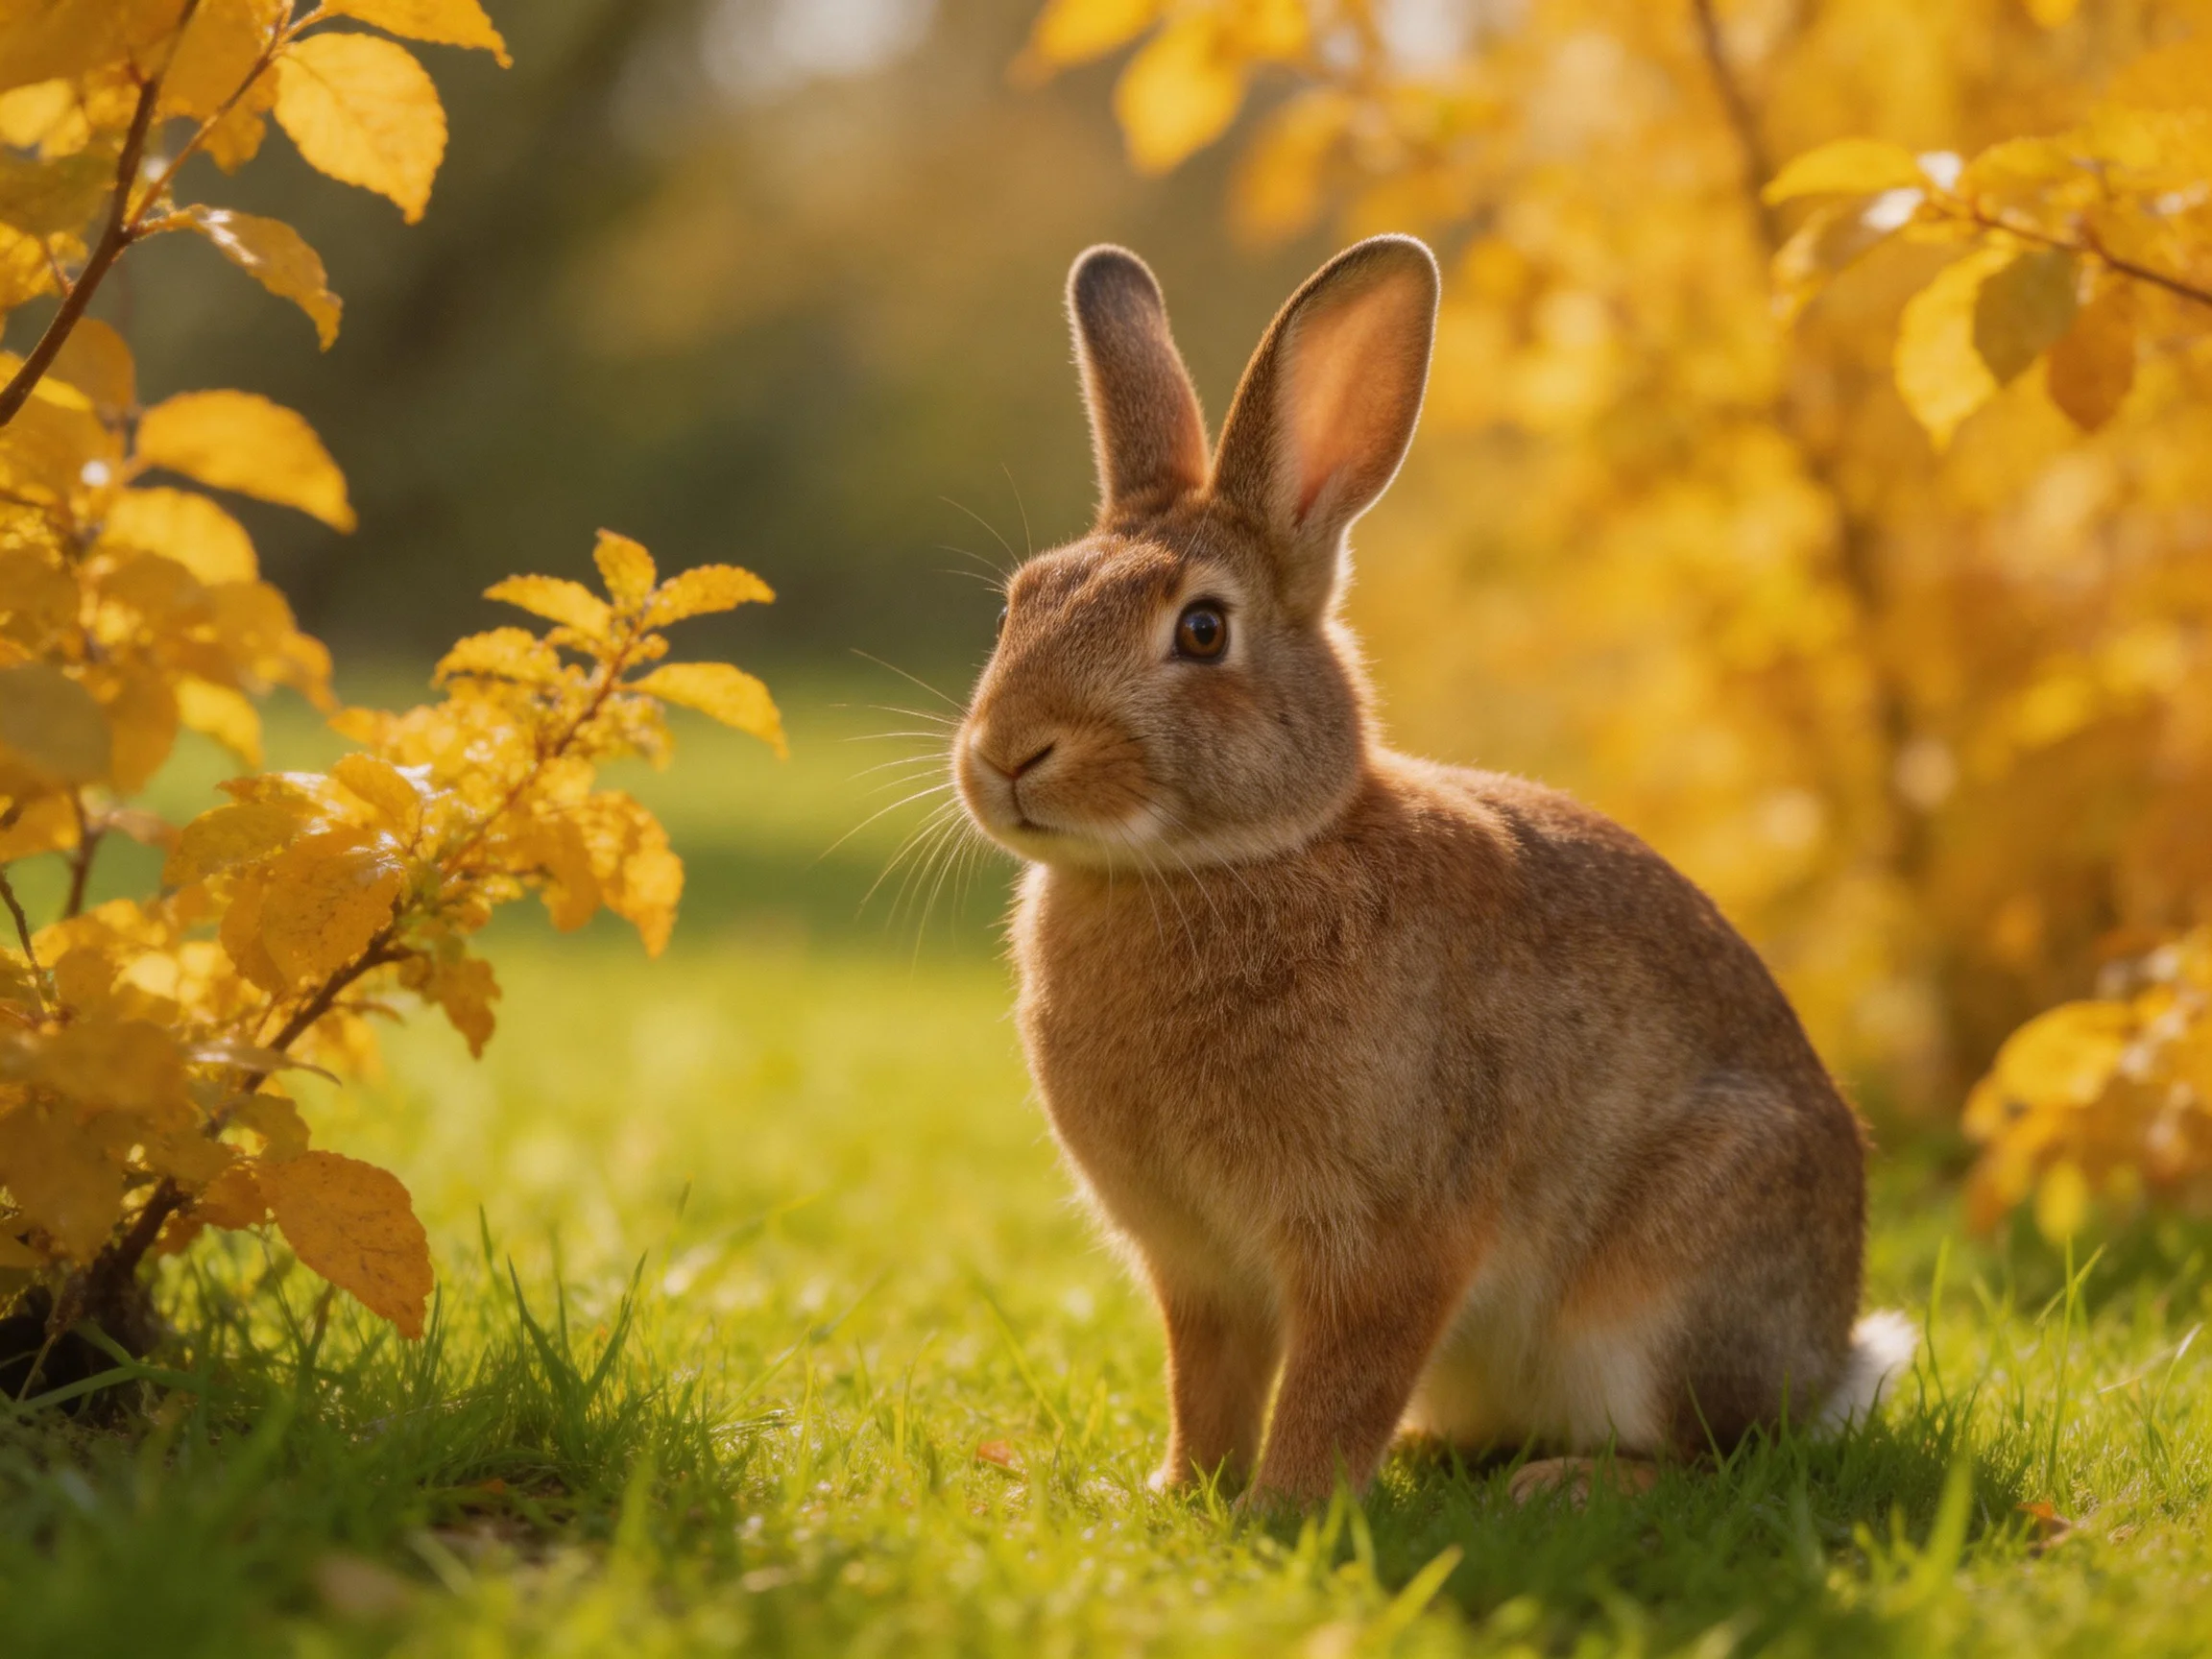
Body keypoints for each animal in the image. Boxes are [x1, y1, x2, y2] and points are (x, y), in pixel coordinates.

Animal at [952, 234, 1914, 1508]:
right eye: (1024, 601)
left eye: (1202, 631)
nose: (1009, 753)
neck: (1229, 861)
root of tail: (1827, 1363)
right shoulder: (1196, 1268)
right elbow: (1205, 1380)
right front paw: (1182, 1492)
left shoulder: (1387, 1239)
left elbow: (1339, 1377)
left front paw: (1285, 1510)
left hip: (1668, 1286)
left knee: (1713, 1454)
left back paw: (1562, 1487)